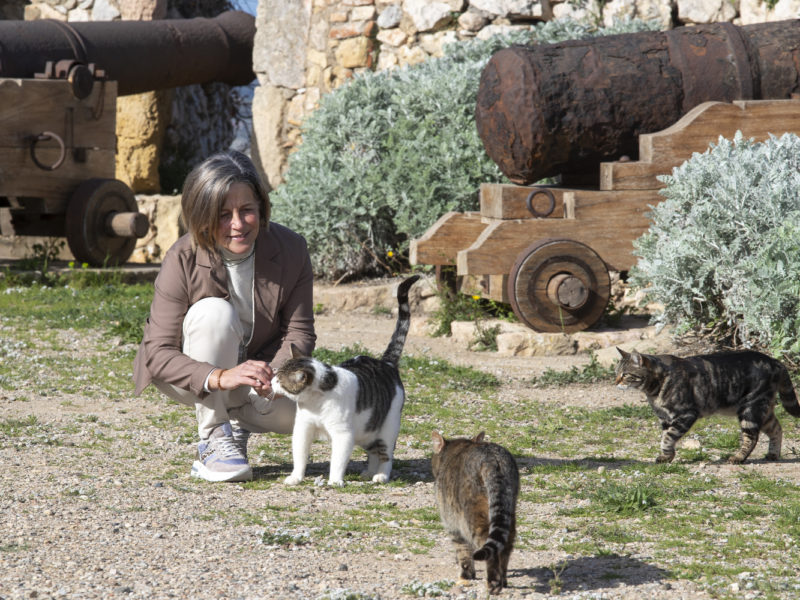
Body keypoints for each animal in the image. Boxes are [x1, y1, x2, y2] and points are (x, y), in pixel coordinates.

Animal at [270, 274, 418, 486]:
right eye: (275, 375)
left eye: (280, 380)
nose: (271, 382)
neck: (315, 402)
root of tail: (386, 363)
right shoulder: (303, 428)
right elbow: (299, 455)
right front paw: (296, 477)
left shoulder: (343, 434)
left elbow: (338, 460)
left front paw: (335, 481)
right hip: (367, 429)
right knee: (373, 451)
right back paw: (369, 472)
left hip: (387, 427)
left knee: (386, 454)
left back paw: (381, 475)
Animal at [432, 432, 520, 596]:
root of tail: (492, 458)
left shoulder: (453, 523)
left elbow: (463, 551)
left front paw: (466, 574)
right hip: (509, 508)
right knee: (506, 544)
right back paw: (503, 579)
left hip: (473, 514)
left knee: (486, 544)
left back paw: (493, 582)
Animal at [612, 346, 800, 464]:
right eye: (616, 373)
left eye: (625, 375)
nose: (615, 382)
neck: (654, 390)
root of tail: (774, 361)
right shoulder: (665, 419)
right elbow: (665, 438)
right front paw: (667, 457)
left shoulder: (686, 414)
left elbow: (668, 437)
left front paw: (666, 454)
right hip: (763, 409)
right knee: (777, 428)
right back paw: (773, 454)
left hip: (750, 409)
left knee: (751, 438)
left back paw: (738, 458)